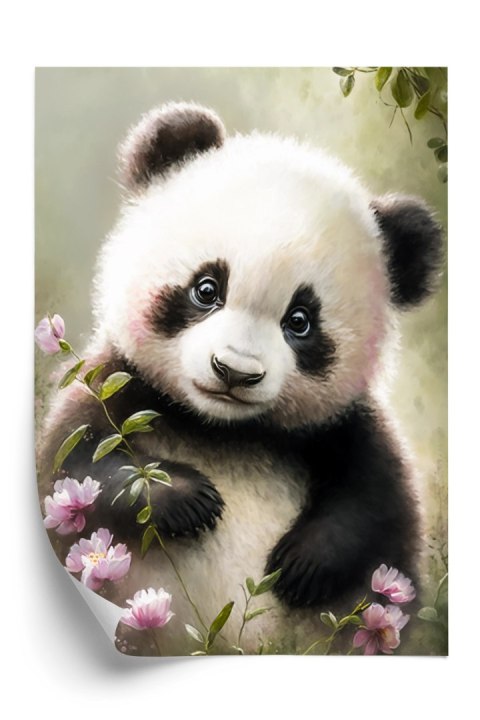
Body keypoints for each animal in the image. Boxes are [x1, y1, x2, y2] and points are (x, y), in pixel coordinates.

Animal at [38, 101, 443, 656]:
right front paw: (187, 498)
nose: (234, 371)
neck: (223, 429)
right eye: (207, 288)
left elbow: (377, 506)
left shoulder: (343, 427)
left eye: (301, 321)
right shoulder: (116, 385)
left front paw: (302, 563)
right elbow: (75, 467)